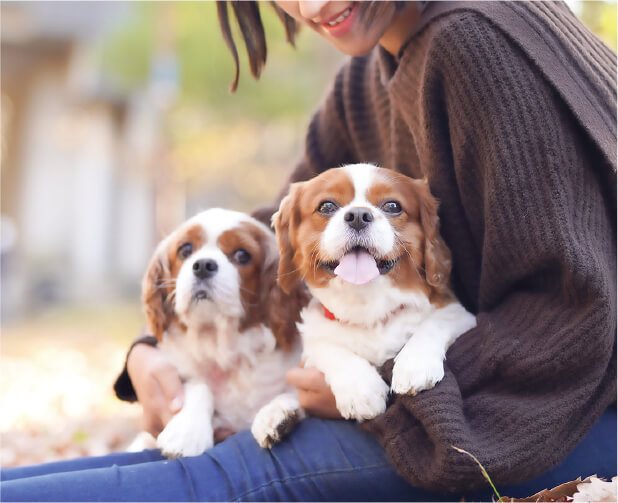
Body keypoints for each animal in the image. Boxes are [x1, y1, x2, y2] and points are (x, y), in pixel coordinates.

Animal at [141, 207, 306, 458]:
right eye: (185, 249)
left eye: (242, 255)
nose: (202, 265)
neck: (221, 341)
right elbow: (198, 386)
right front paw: (187, 431)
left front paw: (276, 412)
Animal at [250, 162, 476, 448]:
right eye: (327, 206)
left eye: (392, 206)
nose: (358, 215)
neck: (366, 303)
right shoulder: (316, 333)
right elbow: (329, 348)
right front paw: (361, 389)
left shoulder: (459, 313)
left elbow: (434, 324)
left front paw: (413, 364)